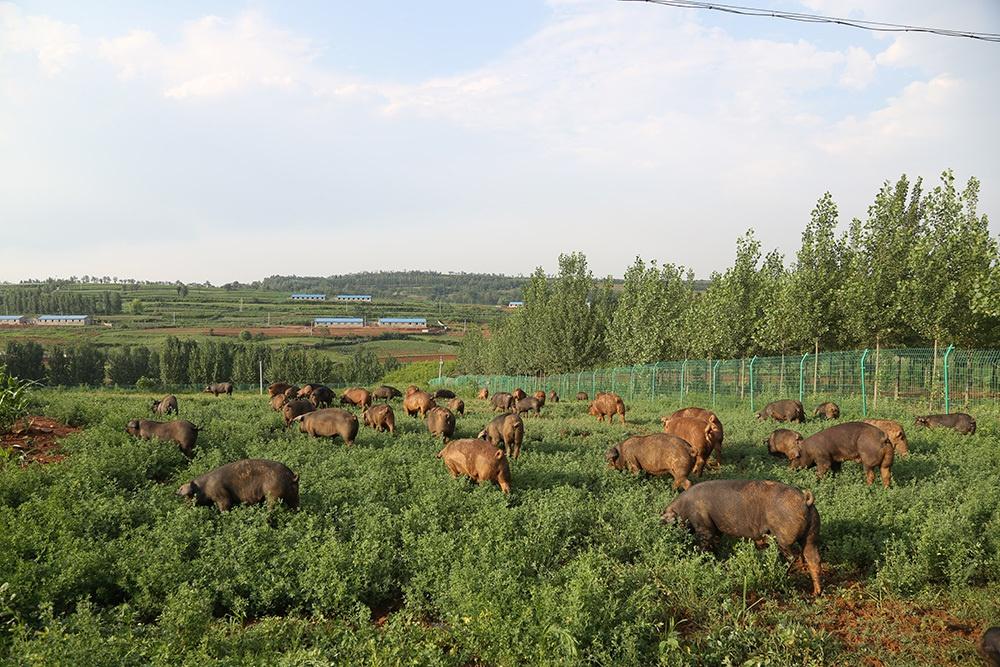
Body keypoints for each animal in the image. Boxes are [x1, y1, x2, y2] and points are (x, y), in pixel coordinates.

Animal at [660, 480, 824, 596]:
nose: (660, 522)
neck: (683, 509)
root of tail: (805, 500)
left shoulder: (703, 528)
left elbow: (704, 546)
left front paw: (701, 560)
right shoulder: (716, 530)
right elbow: (715, 544)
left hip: (784, 538)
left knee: (793, 557)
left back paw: (783, 573)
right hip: (811, 535)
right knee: (814, 559)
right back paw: (815, 593)